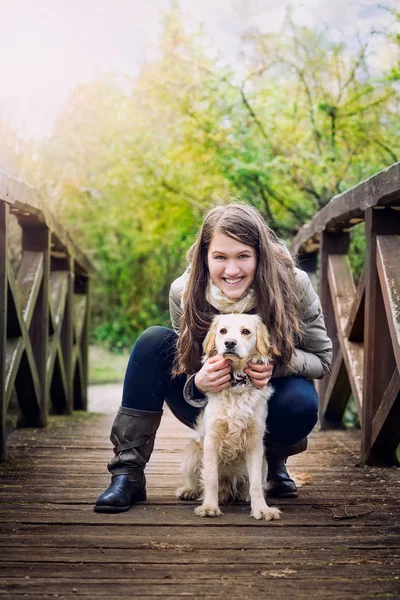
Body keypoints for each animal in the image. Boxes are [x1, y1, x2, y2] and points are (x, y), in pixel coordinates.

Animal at [178, 314, 282, 520]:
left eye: (245, 331)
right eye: (223, 331)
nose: (230, 343)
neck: (236, 383)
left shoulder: (255, 443)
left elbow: (256, 484)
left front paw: (262, 509)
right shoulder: (211, 440)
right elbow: (210, 478)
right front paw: (209, 507)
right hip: (193, 453)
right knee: (198, 482)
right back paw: (189, 491)